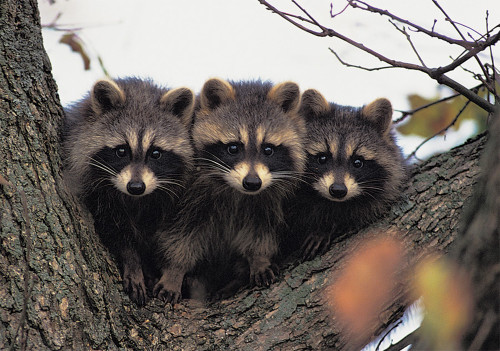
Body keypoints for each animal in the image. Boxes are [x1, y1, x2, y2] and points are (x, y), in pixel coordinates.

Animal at [62, 77, 193, 306]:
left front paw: (170, 272)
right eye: (122, 151)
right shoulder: (98, 195)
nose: (136, 187)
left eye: (155, 153)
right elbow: (117, 233)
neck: (136, 200)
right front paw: (133, 264)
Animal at [154, 78, 306, 304]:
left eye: (268, 149)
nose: (252, 182)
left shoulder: (266, 199)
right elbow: (179, 234)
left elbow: (260, 229)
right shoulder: (189, 194)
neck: (236, 191)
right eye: (234, 148)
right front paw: (175, 271)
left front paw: (259, 258)